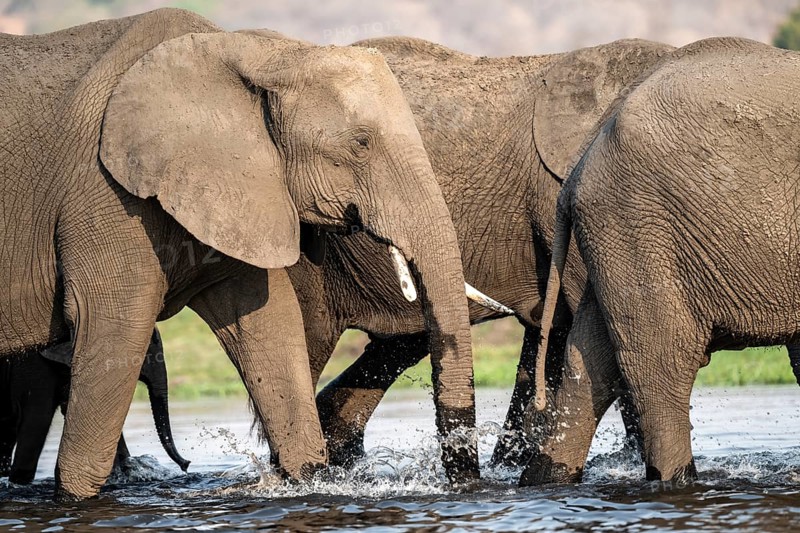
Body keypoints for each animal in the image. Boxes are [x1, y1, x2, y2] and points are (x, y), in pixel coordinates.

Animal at [521, 37, 800, 486]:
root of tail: (583, 159)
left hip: (621, 235)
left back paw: (545, 479)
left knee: (588, 364)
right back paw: (676, 480)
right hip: (640, 223)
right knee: (663, 365)